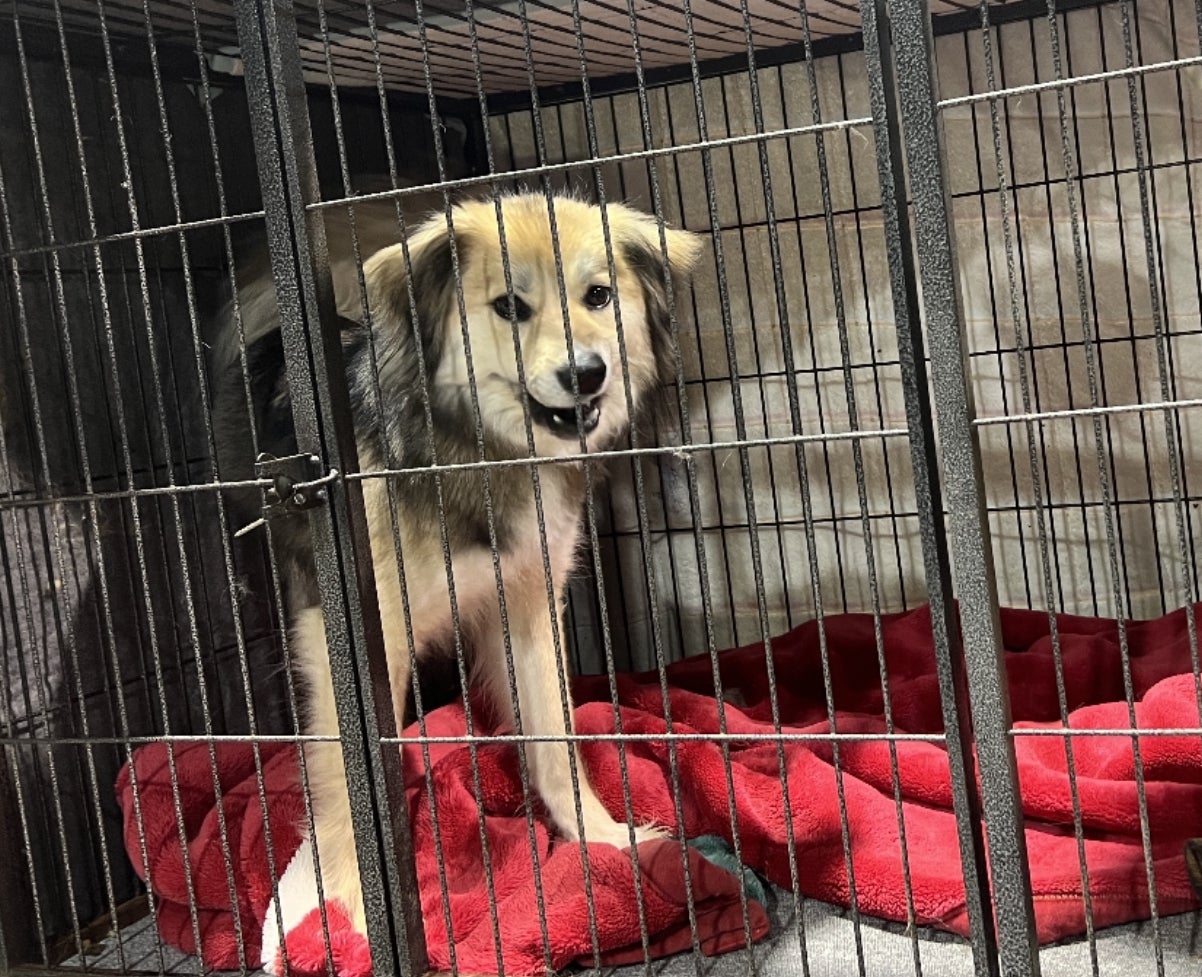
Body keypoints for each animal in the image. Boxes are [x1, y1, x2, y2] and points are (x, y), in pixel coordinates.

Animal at [212, 191, 702, 935]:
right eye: (509, 306)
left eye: (598, 295)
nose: (586, 373)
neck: (478, 449)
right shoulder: (354, 641)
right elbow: (351, 785)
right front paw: (356, 908)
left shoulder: (527, 607)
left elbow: (555, 739)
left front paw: (601, 837)